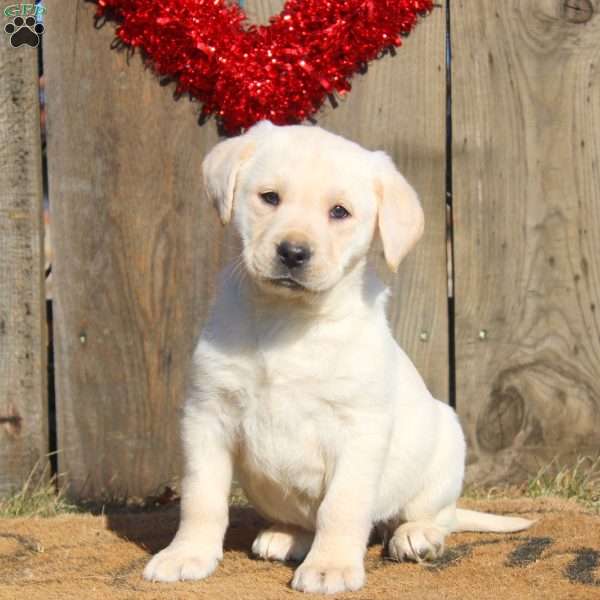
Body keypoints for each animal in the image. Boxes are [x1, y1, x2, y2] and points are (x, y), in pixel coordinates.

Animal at [143, 119, 532, 592]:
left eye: (339, 212)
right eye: (269, 198)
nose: (293, 252)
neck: (287, 320)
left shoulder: (359, 429)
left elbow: (341, 507)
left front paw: (331, 566)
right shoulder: (207, 415)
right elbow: (202, 498)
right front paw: (187, 554)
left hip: (445, 444)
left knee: (434, 515)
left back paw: (416, 536)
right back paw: (286, 535)